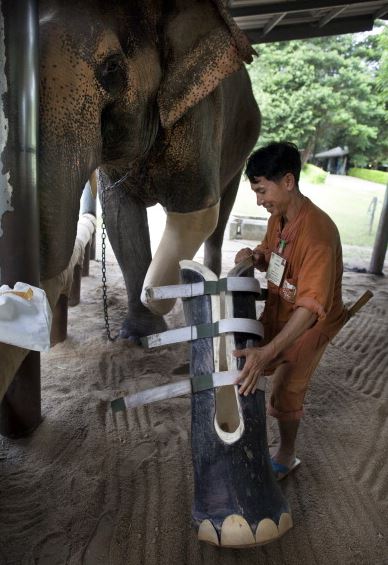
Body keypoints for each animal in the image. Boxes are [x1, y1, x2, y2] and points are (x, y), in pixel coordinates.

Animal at [20, 1, 260, 344]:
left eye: (111, 67)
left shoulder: (199, 109)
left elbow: (196, 211)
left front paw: (159, 296)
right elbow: (120, 218)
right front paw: (137, 336)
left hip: (242, 144)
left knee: (221, 214)